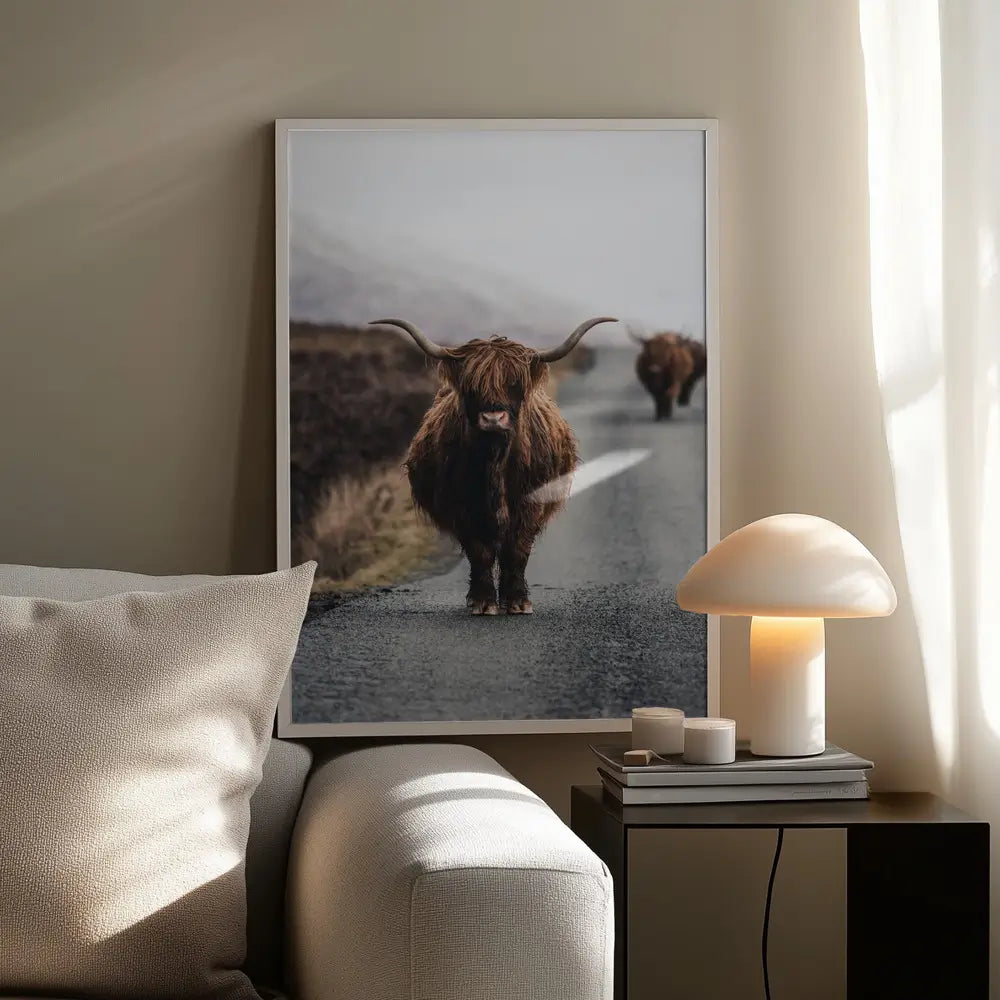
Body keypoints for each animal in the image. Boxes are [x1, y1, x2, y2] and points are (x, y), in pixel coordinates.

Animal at [372, 317, 616, 615]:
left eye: (514, 384)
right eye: (472, 386)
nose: (493, 418)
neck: (495, 459)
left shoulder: (531, 503)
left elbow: (517, 550)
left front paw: (518, 602)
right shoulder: (462, 508)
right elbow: (480, 552)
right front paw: (483, 602)